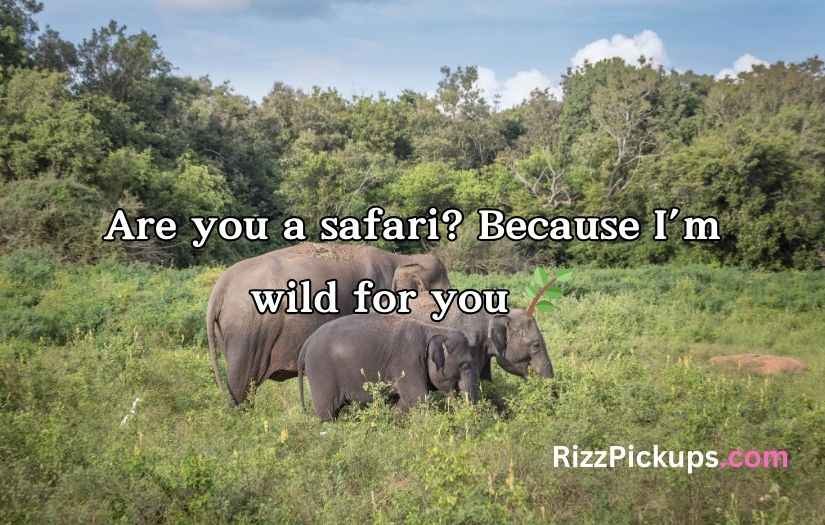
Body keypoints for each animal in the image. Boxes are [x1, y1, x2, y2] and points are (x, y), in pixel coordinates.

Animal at [297, 314, 480, 421]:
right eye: (465, 365)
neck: (432, 329)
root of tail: (307, 343)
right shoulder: (408, 360)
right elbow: (418, 398)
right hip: (321, 371)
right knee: (327, 412)